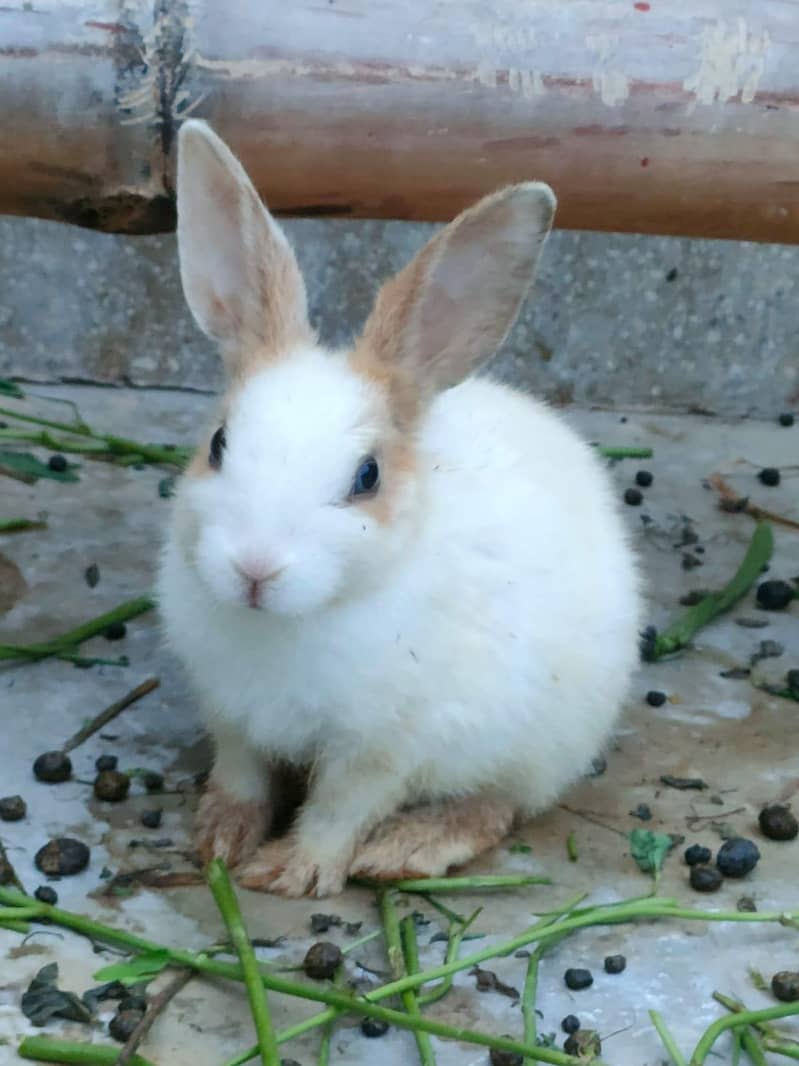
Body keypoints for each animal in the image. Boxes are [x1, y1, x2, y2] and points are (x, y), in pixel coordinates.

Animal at [158, 119, 643, 898]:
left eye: (367, 476)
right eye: (219, 443)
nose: (254, 569)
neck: (291, 621)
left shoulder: (381, 748)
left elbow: (339, 810)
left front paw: (291, 872)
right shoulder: (231, 718)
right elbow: (243, 779)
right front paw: (221, 841)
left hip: (538, 743)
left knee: (494, 806)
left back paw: (407, 849)